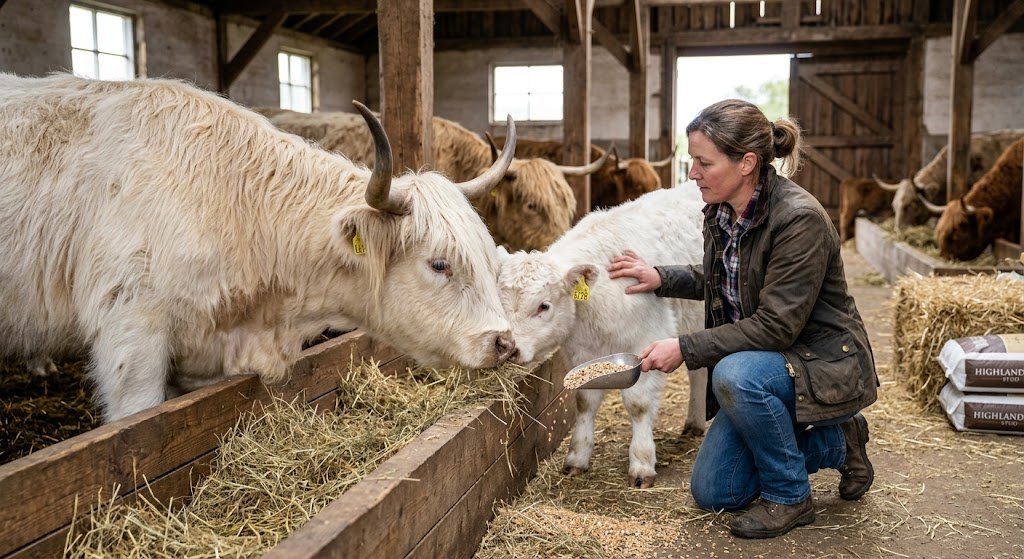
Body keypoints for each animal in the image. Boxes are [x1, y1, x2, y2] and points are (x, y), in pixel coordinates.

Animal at [495, 187, 706, 489]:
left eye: (543, 306)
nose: (509, 348)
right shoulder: (582, 355)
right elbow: (585, 402)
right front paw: (577, 458)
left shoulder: (647, 341)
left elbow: (639, 405)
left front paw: (642, 464)